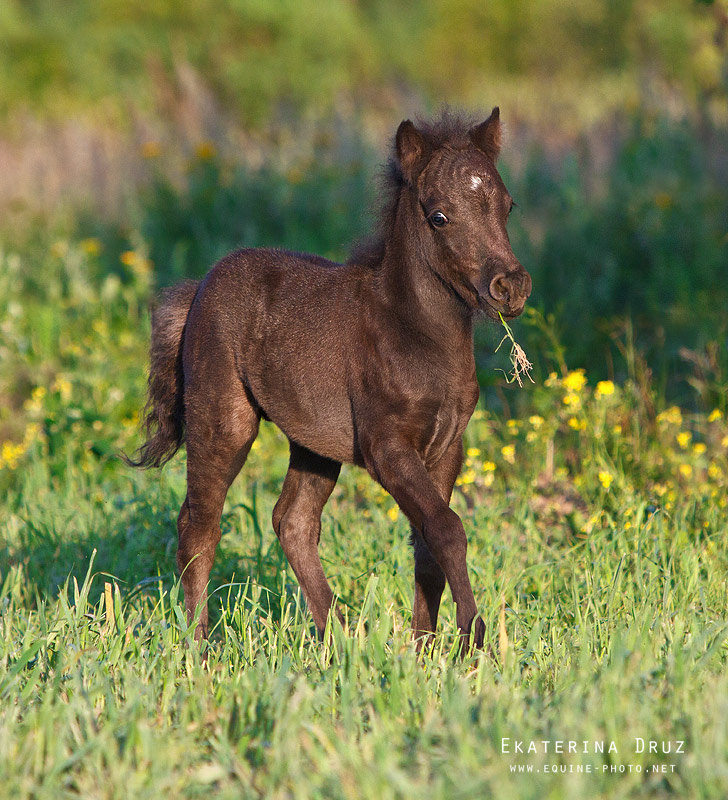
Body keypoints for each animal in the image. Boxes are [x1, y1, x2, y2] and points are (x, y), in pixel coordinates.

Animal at [129, 109, 528, 652]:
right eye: (439, 216)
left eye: (507, 205)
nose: (510, 287)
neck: (415, 334)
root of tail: (199, 288)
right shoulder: (386, 447)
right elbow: (447, 528)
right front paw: (472, 637)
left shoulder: (448, 446)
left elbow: (428, 541)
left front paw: (424, 648)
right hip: (224, 420)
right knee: (199, 525)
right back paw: (202, 647)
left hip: (314, 442)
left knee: (292, 522)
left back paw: (338, 639)